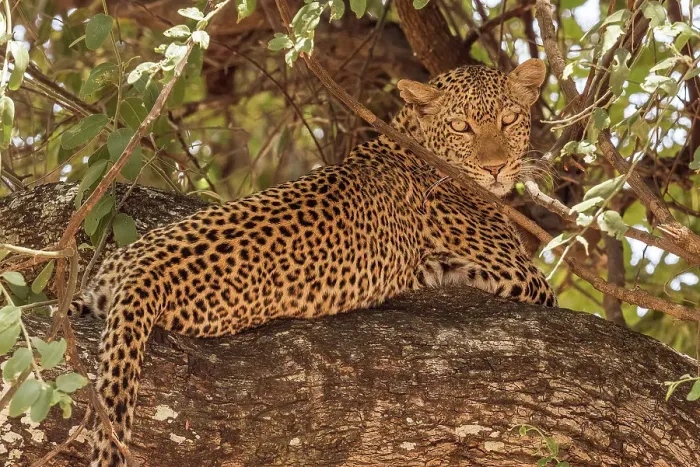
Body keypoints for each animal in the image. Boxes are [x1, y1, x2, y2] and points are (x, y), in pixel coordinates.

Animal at [68, 58, 557, 466]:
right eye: (461, 126)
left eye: (509, 119)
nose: (495, 169)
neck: (410, 141)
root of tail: (141, 270)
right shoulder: (524, 278)